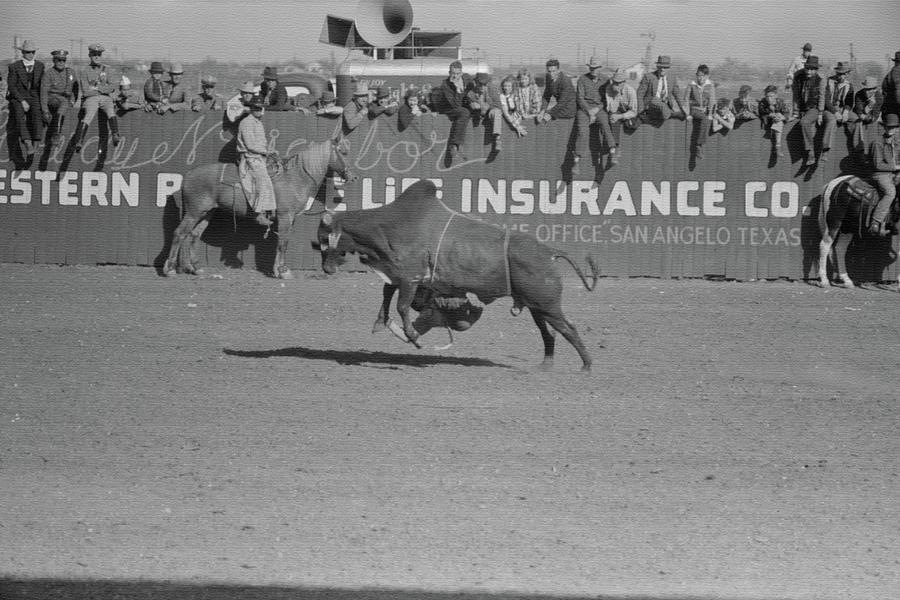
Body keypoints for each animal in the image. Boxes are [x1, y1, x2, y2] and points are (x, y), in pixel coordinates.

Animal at [163, 136, 352, 278]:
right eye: (343, 152)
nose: (352, 176)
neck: (295, 178)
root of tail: (188, 175)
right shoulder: (285, 217)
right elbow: (283, 242)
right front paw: (283, 271)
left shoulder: (288, 219)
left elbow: (281, 241)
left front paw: (277, 270)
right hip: (193, 212)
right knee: (179, 234)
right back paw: (170, 269)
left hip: (206, 213)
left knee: (192, 235)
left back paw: (194, 268)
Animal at [312, 178, 600, 370]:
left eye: (324, 239)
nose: (326, 268)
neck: (388, 225)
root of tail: (549, 251)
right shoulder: (397, 275)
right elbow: (387, 295)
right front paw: (381, 323)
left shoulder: (410, 278)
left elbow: (402, 306)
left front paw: (412, 336)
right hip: (536, 306)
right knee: (549, 332)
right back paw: (546, 364)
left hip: (547, 304)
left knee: (568, 328)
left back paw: (586, 365)